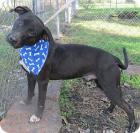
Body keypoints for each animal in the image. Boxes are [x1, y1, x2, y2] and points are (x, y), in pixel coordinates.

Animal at [6, 5, 138, 132]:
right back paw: (109, 110)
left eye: (32, 33)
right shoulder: (30, 76)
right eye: (19, 23)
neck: (32, 50)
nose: (12, 39)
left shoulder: (43, 81)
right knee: (115, 100)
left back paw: (131, 126)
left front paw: (37, 116)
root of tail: (114, 58)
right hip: (106, 85)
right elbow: (30, 91)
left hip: (109, 86)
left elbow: (40, 101)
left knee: (129, 108)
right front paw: (26, 102)